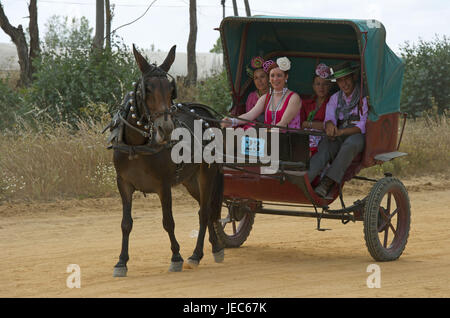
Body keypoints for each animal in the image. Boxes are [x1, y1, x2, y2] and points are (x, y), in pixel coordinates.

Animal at [110, 44, 225, 276]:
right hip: (190, 180)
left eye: (171, 90)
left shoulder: (163, 185)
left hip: (207, 173)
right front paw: (121, 262)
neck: (138, 145)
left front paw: (176, 257)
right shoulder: (123, 183)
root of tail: (205, 115)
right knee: (206, 208)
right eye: (147, 89)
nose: (166, 128)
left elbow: (168, 222)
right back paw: (215, 247)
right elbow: (126, 223)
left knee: (204, 212)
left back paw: (196, 254)